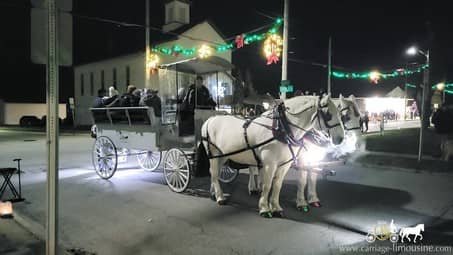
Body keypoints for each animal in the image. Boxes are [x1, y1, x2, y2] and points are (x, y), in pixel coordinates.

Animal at [200, 94, 344, 218]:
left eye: (340, 114)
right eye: (328, 114)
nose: (341, 138)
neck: (282, 127)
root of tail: (210, 119)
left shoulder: (285, 164)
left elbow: (278, 185)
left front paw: (276, 207)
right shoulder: (271, 164)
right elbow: (267, 184)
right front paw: (264, 208)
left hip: (223, 155)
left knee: (216, 173)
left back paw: (213, 193)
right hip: (214, 154)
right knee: (214, 172)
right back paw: (220, 197)